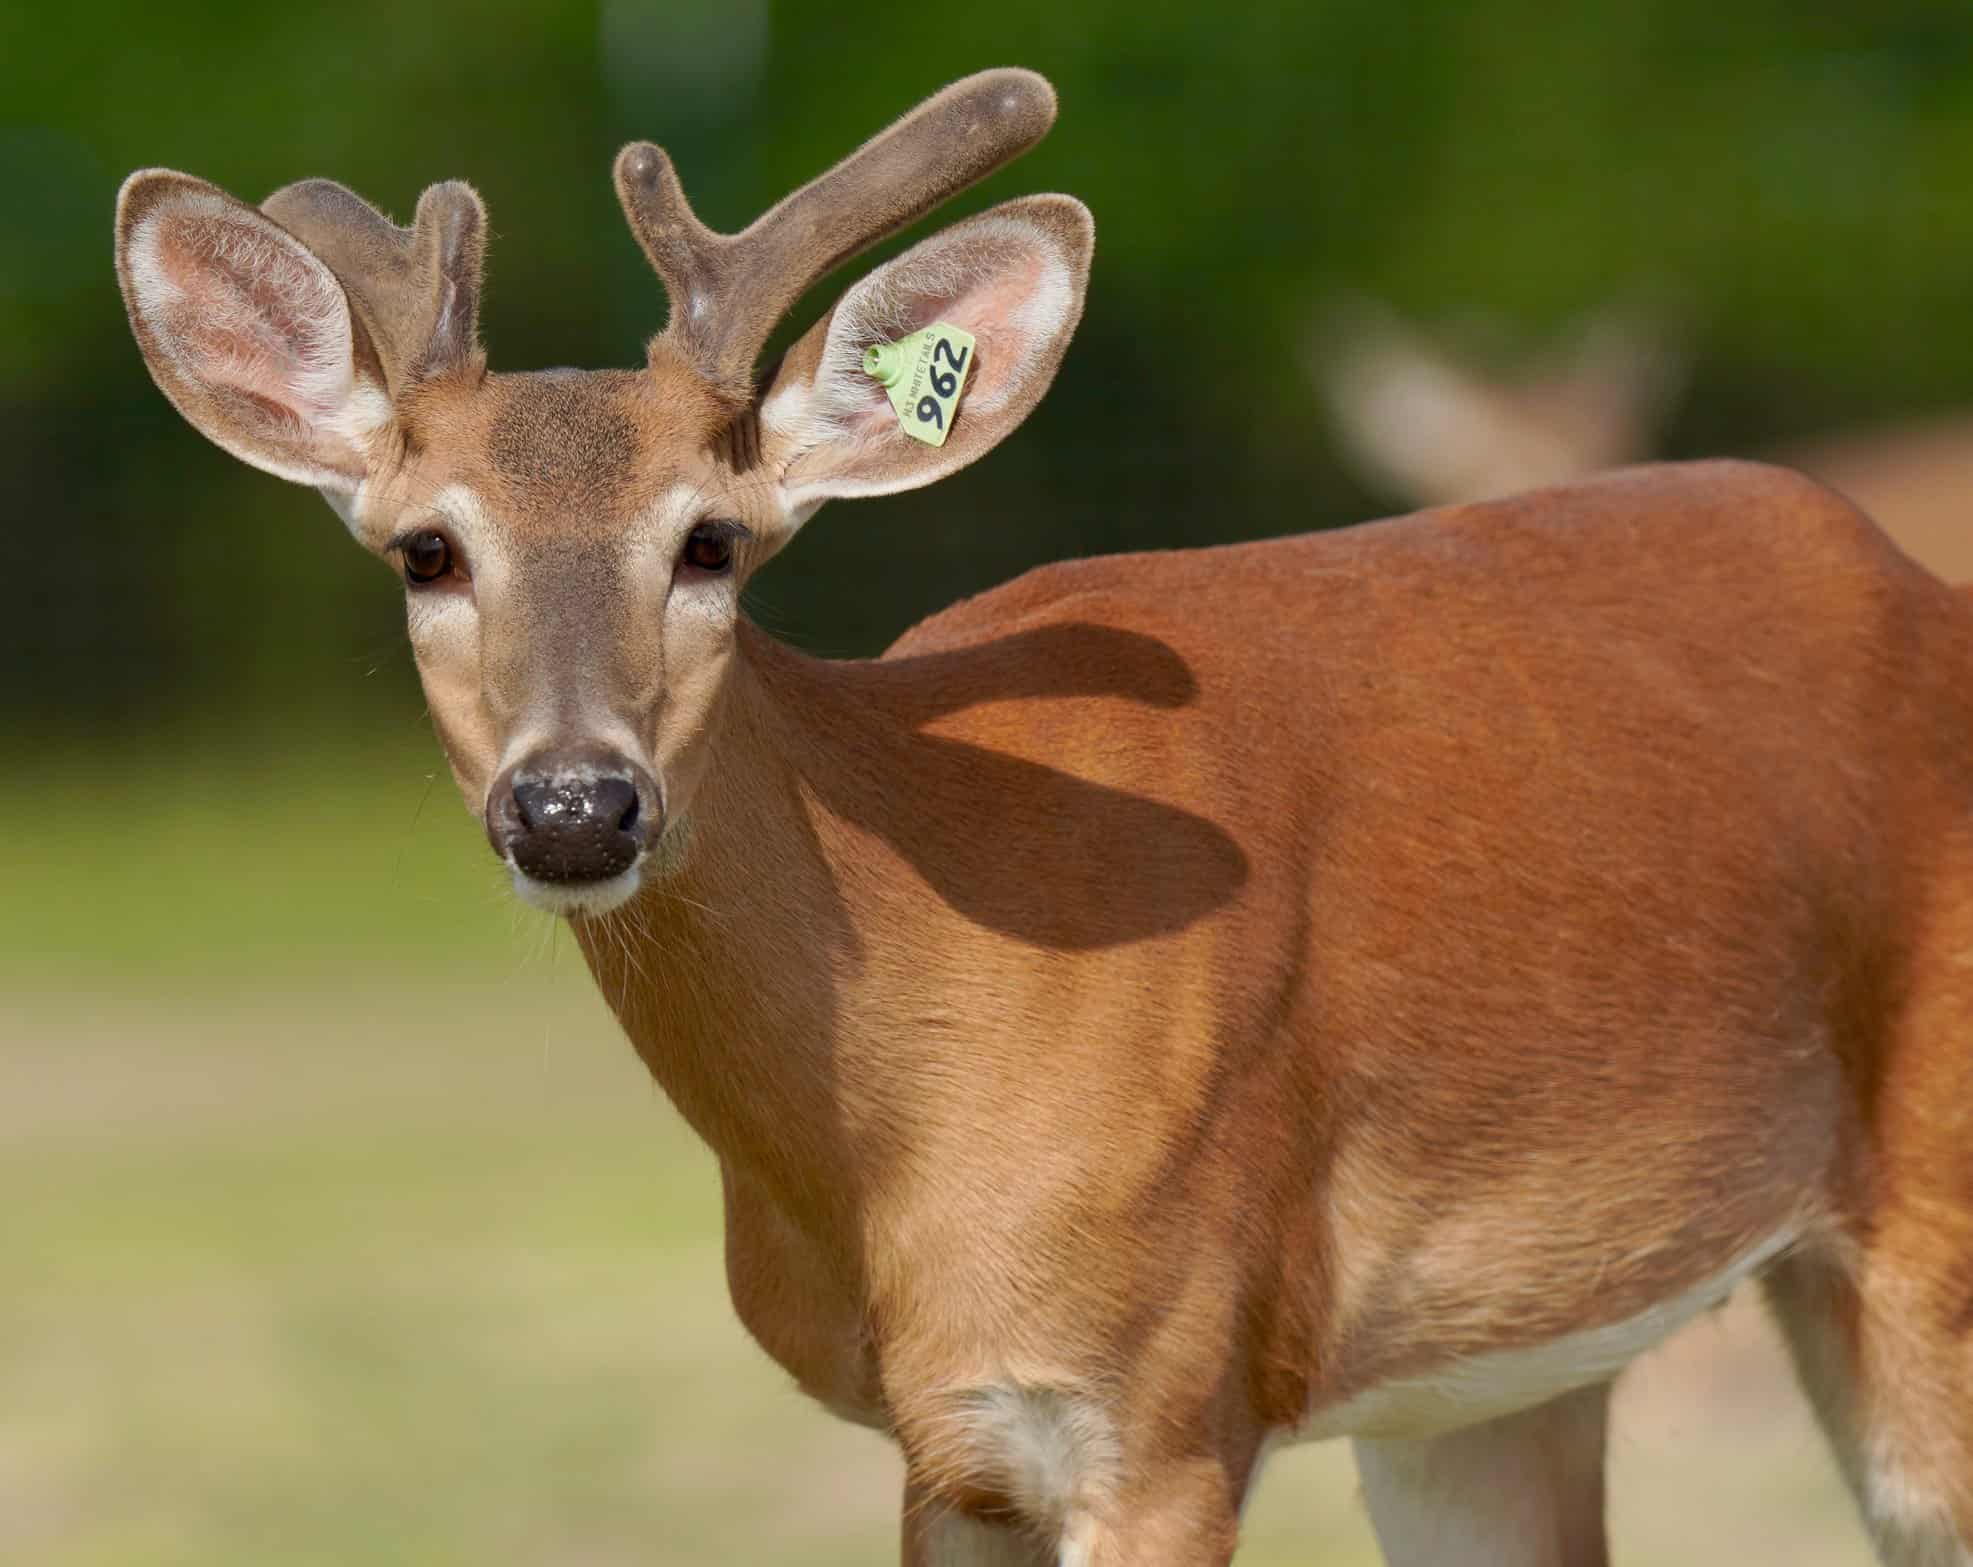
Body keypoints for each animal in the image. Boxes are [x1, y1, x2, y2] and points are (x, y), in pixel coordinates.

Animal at [115, 66, 1973, 1567]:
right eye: (426, 549)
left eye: (713, 539)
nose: (574, 805)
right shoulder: (948, 1447)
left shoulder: (1156, 1395)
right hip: (1487, 1374)